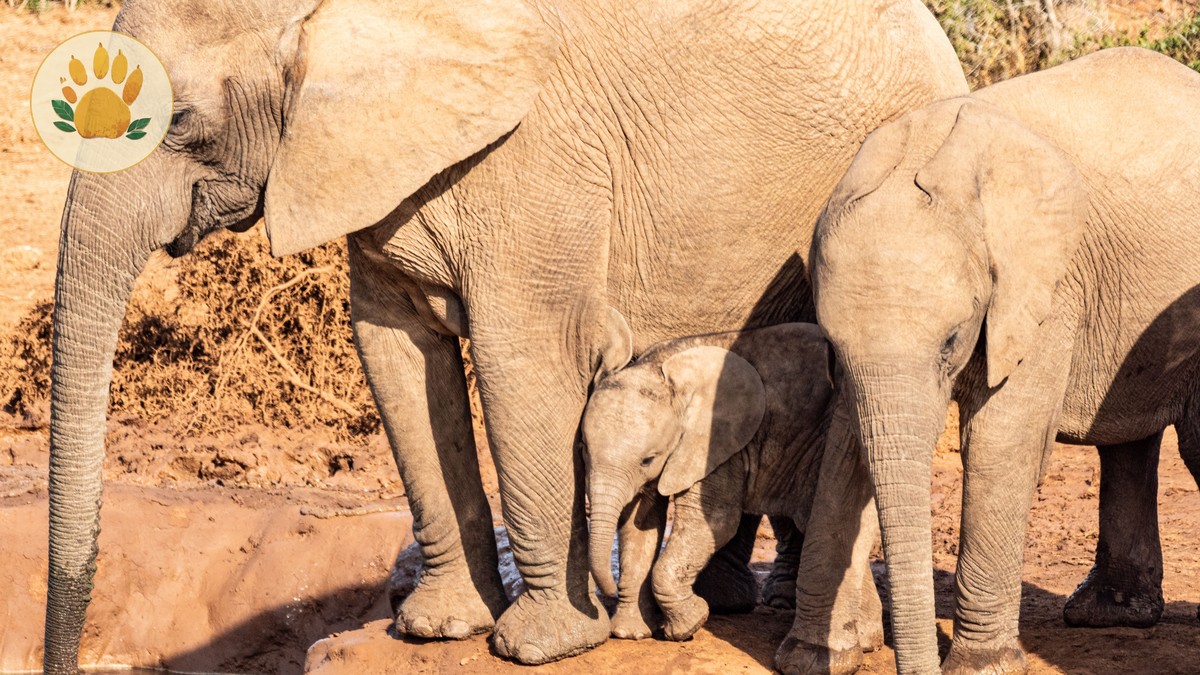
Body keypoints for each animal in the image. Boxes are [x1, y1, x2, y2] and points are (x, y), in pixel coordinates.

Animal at [581, 322, 884, 653]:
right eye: (583, 449)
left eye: (648, 458)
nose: (607, 592)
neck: (664, 371)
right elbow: (640, 526)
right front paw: (632, 634)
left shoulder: (719, 445)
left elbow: (714, 523)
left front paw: (690, 624)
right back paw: (865, 639)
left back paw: (863, 640)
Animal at [809, 47, 1200, 674]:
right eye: (830, 345)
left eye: (952, 339)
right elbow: (846, 441)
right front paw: (815, 653)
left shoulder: (1049, 285)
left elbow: (1001, 438)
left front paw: (982, 665)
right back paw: (1110, 614)